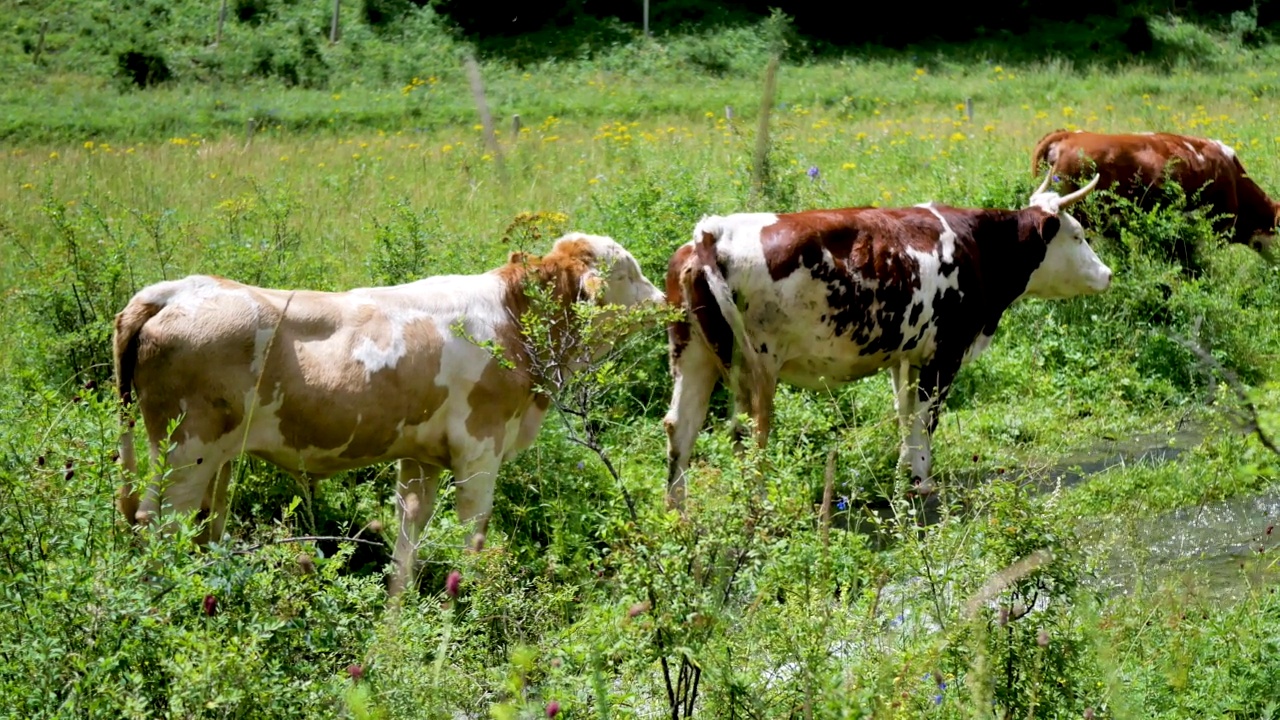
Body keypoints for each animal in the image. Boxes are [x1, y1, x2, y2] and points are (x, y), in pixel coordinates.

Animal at [115, 233, 665, 591]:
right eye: (628, 272)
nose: (664, 299)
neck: (514, 321)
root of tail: (180, 289)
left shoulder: (420, 457)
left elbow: (407, 539)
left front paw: (398, 618)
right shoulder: (479, 452)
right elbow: (473, 539)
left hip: (216, 460)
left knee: (202, 524)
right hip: (186, 451)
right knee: (159, 524)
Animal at [660, 175, 1111, 507]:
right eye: (1077, 235)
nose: (1107, 274)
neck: (976, 245)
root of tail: (712, 232)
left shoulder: (906, 356)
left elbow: (904, 414)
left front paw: (904, 474)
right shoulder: (944, 352)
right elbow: (925, 418)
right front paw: (922, 481)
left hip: (692, 352)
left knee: (680, 427)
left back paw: (678, 514)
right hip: (755, 366)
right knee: (749, 433)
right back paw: (756, 510)